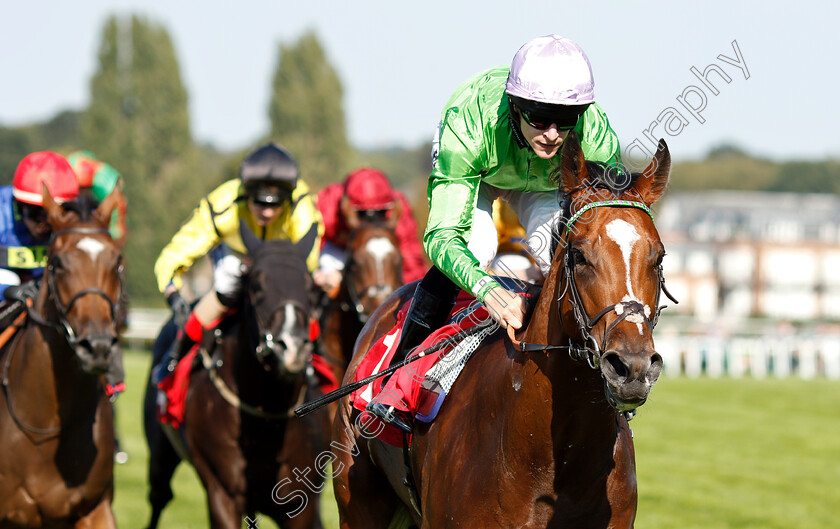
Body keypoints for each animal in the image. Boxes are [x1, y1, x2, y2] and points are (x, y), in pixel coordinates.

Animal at [144, 225, 328, 528]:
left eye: (311, 287)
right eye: (257, 285)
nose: (292, 347)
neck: (267, 414)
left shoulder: (303, 503)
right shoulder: (223, 494)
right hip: (160, 453)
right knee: (159, 497)